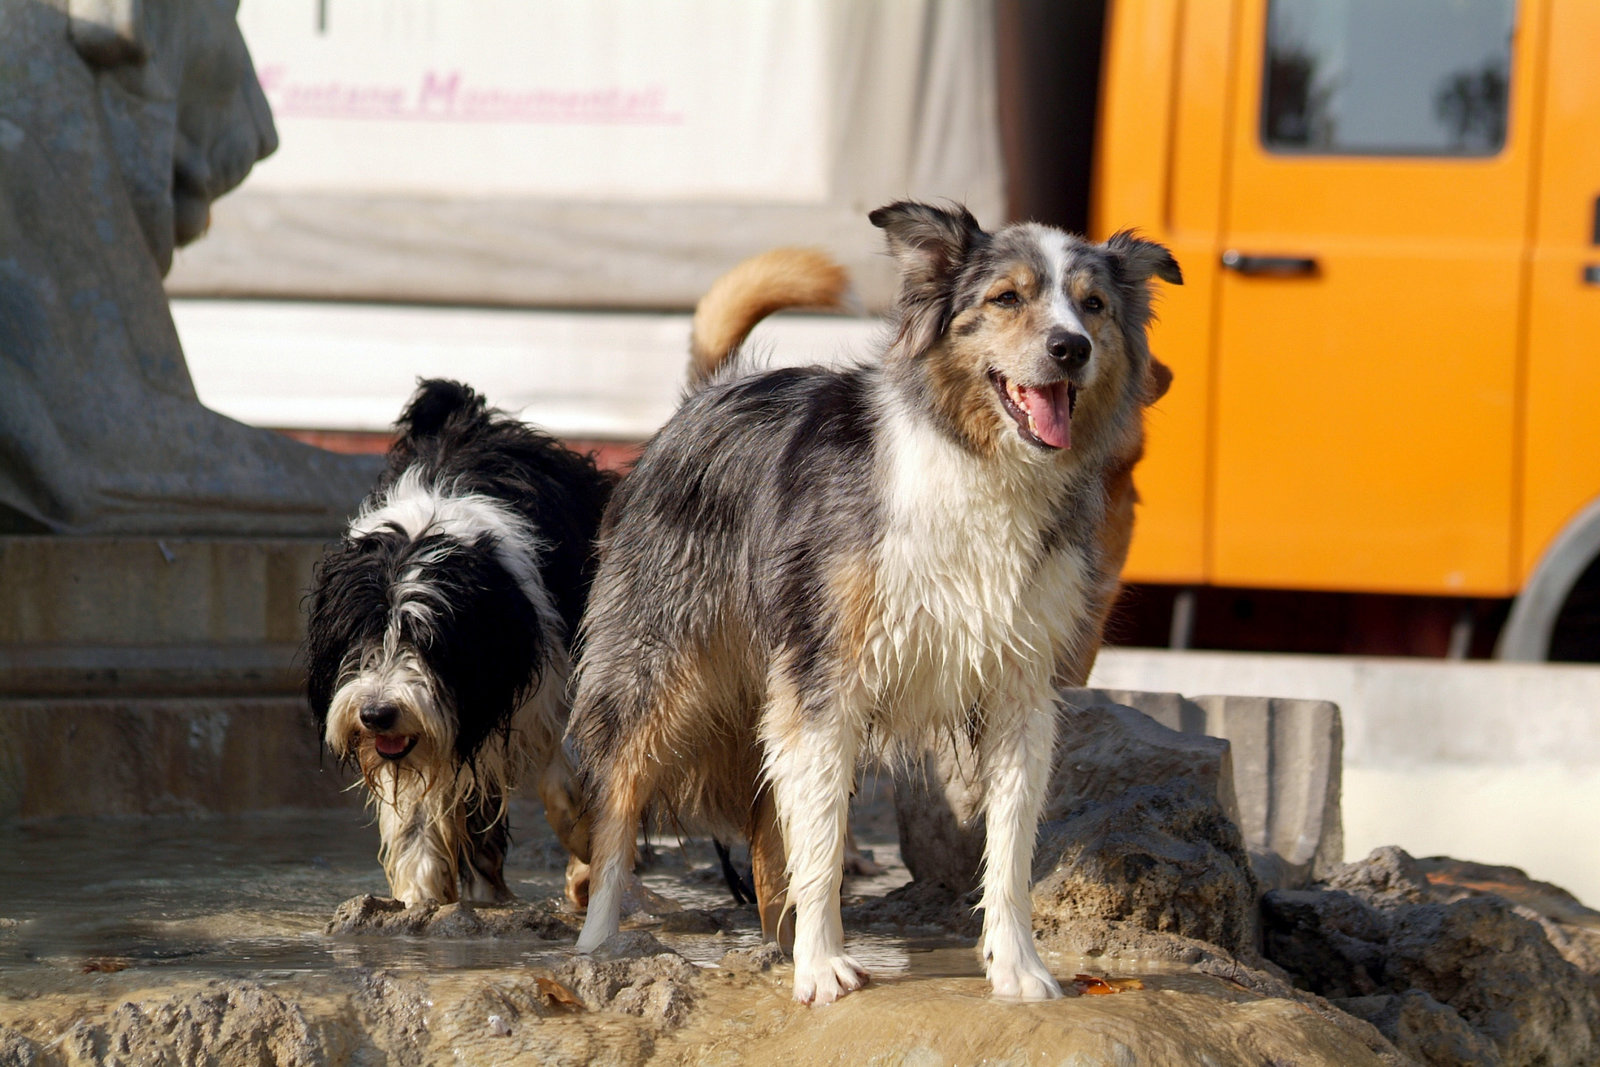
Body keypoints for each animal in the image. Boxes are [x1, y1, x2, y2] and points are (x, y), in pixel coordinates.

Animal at [306, 379, 614, 907]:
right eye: (355, 638)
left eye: (429, 640)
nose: (376, 714)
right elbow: (417, 817)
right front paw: (420, 897)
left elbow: (567, 780)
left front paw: (585, 854)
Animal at [566, 202, 1180, 1004]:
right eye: (1006, 298)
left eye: (1094, 305)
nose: (1069, 348)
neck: (979, 462)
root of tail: (705, 396)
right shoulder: (828, 677)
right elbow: (824, 841)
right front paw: (824, 967)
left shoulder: (1021, 687)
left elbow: (1011, 845)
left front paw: (1017, 967)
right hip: (659, 672)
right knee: (619, 802)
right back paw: (600, 947)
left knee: (770, 830)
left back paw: (777, 942)